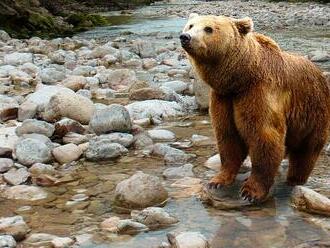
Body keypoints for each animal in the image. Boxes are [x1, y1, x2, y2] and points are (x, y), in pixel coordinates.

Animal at [182, 13, 330, 202]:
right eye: (191, 25)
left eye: (208, 28)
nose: (185, 37)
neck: (239, 78)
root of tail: (319, 72)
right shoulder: (224, 98)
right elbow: (228, 137)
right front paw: (217, 180)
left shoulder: (259, 92)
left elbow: (264, 136)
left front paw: (250, 191)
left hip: (312, 112)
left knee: (306, 151)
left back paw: (294, 179)